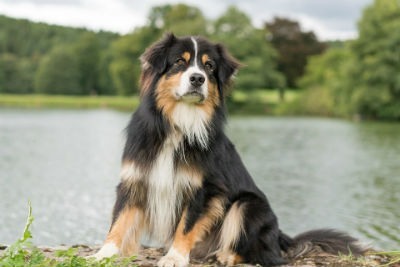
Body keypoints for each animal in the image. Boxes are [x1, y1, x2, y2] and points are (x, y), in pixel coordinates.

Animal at [92, 34, 368, 266]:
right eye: (179, 62)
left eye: (209, 67)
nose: (198, 78)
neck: (179, 124)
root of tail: (281, 237)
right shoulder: (135, 178)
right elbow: (119, 221)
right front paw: (104, 253)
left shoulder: (205, 189)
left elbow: (186, 225)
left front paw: (175, 257)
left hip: (248, 206)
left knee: (261, 255)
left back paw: (225, 255)